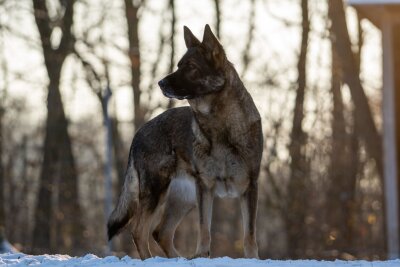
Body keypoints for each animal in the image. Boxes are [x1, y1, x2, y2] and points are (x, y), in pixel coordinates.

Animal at [107, 24, 262, 260]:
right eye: (179, 65)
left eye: (190, 67)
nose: (160, 83)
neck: (220, 127)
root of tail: (139, 132)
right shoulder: (205, 188)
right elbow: (204, 229)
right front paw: (202, 255)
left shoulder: (249, 187)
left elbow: (249, 234)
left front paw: (252, 259)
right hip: (158, 190)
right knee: (140, 231)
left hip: (183, 198)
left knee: (160, 232)